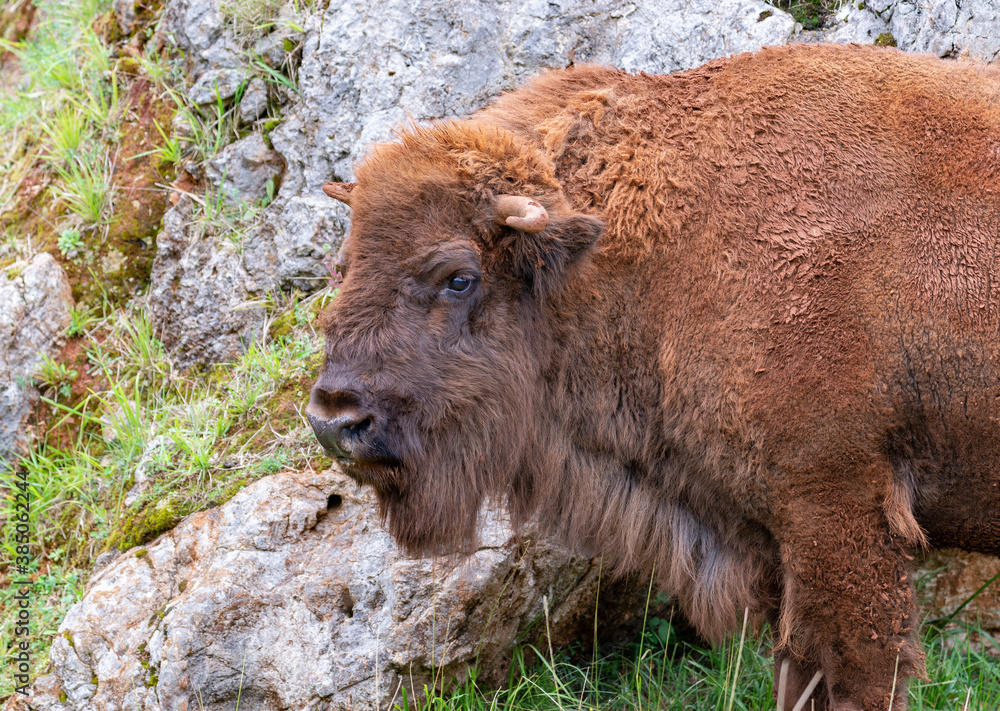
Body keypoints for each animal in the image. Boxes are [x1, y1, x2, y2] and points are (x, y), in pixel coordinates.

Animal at [307, 43, 1000, 710]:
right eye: (344, 267)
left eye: (458, 276)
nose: (335, 419)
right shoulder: (779, 541)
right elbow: (800, 672)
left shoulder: (836, 508)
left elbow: (858, 673)